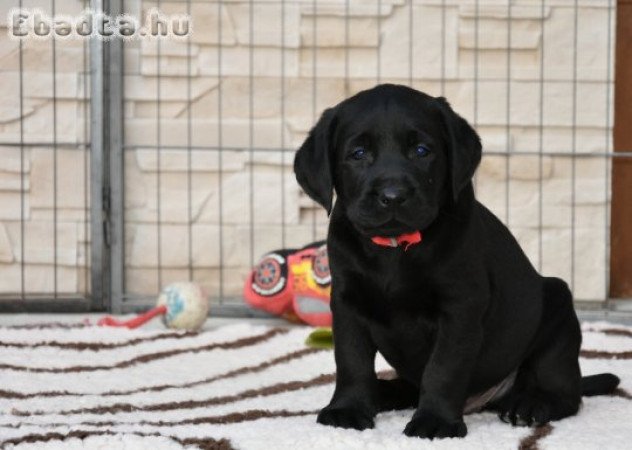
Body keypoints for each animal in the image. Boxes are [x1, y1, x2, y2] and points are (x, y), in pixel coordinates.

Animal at [294, 84, 620, 440]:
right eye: (358, 154)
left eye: (422, 151)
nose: (393, 196)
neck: (395, 248)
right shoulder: (347, 303)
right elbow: (351, 360)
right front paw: (348, 409)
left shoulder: (460, 307)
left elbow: (443, 368)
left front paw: (435, 420)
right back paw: (383, 392)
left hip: (558, 311)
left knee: (567, 393)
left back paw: (531, 404)